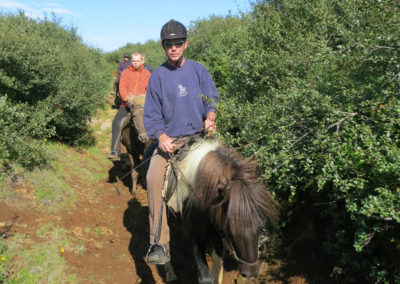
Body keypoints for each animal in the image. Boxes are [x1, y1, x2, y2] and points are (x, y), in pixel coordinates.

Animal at [162, 138, 278, 282]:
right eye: (231, 230)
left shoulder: (218, 238)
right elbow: (207, 278)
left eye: (260, 224)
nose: (250, 273)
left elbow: (217, 272)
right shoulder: (195, 239)